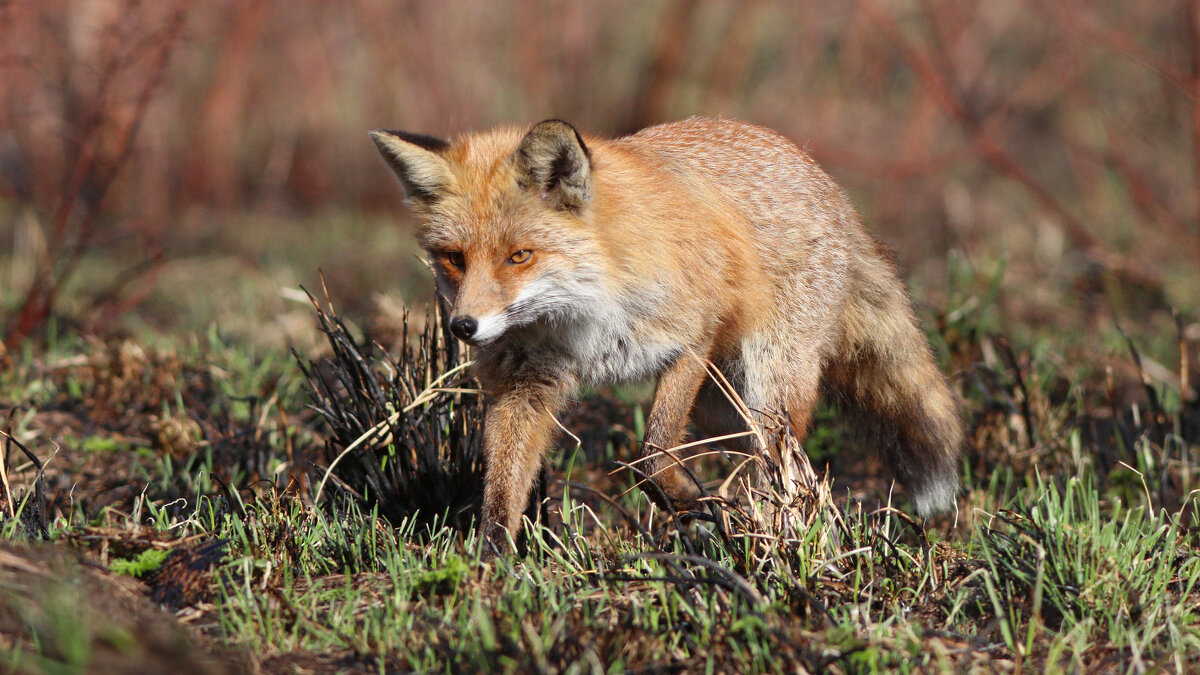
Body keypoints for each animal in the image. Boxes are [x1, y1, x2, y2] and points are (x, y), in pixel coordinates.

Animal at [369, 117, 969, 557]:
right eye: (454, 258)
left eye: (519, 255)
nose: (463, 327)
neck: (582, 319)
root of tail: (824, 180)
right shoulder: (525, 385)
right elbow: (500, 491)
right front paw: (489, 565)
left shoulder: (689, 341)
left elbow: (651, 454)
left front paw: (690, 502)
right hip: (723, 408)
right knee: (764, 461)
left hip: (767, 383)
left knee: (783, 466)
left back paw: (775, 535)